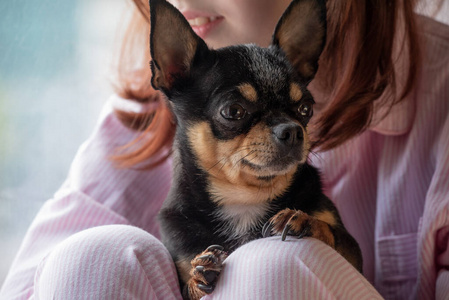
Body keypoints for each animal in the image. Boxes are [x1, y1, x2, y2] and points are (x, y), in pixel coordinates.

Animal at [149, 0, 362, 298]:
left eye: (306, 109)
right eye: (233, 111)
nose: (292, 130)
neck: (245, 200)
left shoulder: (354, 256)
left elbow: (334, 235)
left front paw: (305, 221)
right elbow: (187, 283)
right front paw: (197, 275)